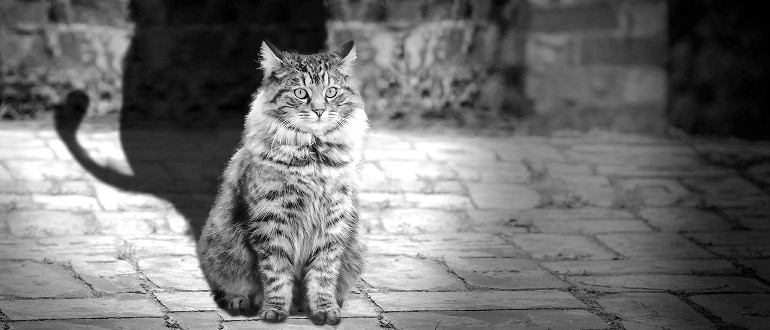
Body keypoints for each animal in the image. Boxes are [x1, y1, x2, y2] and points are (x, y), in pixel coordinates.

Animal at [196, 39, 368, 324]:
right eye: (300, 93)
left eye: (331, 92)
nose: (319, 111)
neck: (313, 157)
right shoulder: (271, 221)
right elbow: (276, 274)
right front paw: (274, 310)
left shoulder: (333, 222)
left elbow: (323, 274)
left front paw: (325, 309)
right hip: (220, 249)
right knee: (229, 284)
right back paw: (241, 302)